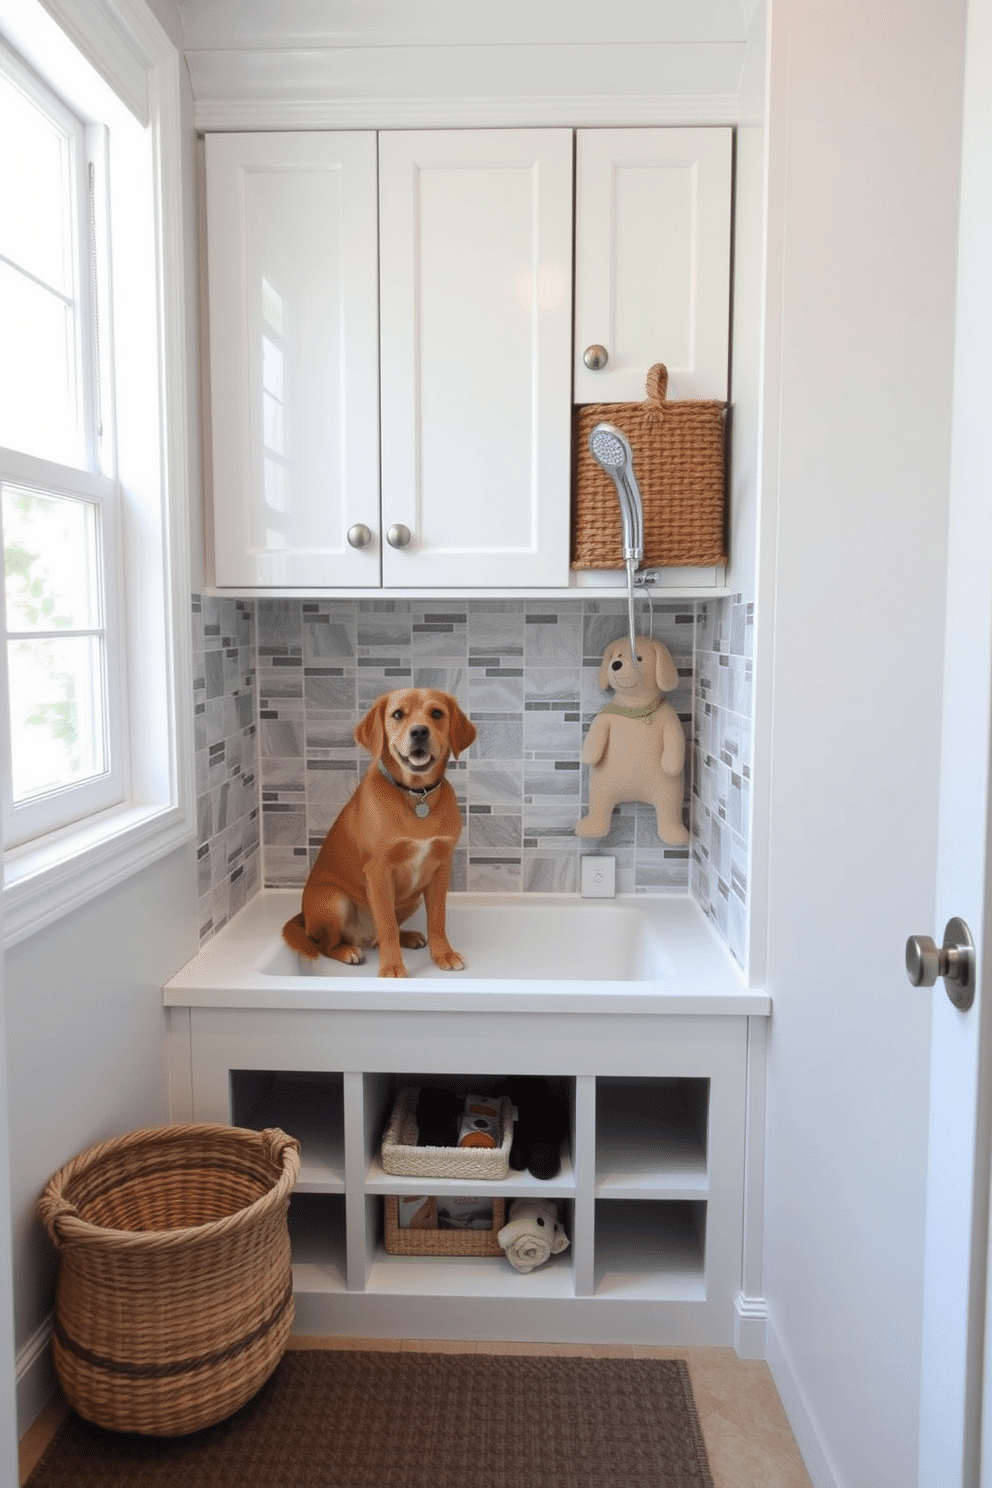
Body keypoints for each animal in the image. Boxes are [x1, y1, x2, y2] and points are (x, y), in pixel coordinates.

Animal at [282, 690, 475, 982]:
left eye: (437, 713)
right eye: (397, 714)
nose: (419, 731)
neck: (416, 796)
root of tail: (303, 917)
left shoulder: (441, 867)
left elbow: (437, 919)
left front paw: (443, 955)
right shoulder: (379, 871)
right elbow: (386, 926)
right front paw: (392, 967)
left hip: (411, 899)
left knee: (376, 938)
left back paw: (409, 937)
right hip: (334, 901)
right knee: (326, 944)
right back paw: (347, 951)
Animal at [574, 633, 690, 851]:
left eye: (639, 658)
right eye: (617, 655)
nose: (616, 664)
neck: (635, 705)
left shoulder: (670, 718)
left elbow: (675, 739)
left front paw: (670, 765)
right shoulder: (606, 716)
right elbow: (595, 735)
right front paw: (588, 757)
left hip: (669, 791)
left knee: (669, 811)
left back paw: (675, 834)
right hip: (600, 787)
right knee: (600, 807)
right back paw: (591, 828)